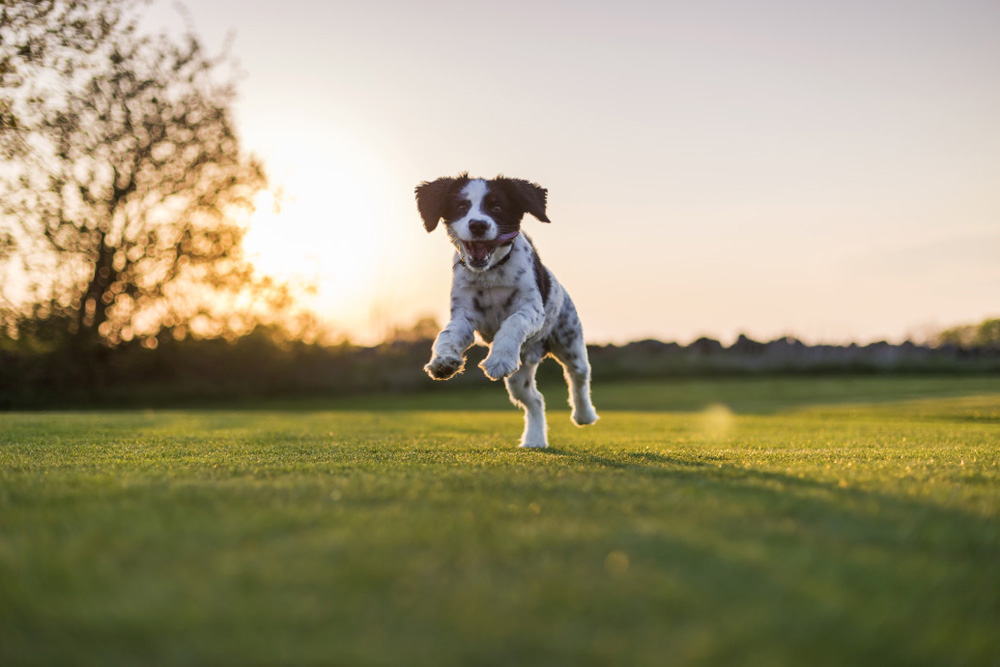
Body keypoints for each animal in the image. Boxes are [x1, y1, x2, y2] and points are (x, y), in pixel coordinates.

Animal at [416, 176, 600, 448]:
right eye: (461, 206)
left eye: (497, 207)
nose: (478, 225)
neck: (491, 272)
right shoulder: (464, 316)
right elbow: (447, 334)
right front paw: (443, 361)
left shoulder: (532, 308)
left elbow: (513, 321)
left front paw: (500, 358)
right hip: (519, 376)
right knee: (535, 400)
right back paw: (534, 440)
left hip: (569, 340)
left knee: (579, 377)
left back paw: (584, 415)